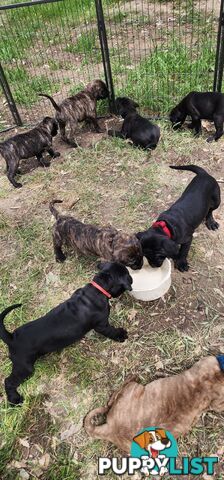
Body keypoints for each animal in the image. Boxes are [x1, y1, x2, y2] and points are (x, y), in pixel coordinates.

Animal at [0, 262, 132, 404]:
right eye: (127, 274)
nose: (131, 279)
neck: (98, 288)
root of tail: (11, 338)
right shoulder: (102, 325)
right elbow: (111, 331)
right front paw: (121, 335)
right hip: (24, 368)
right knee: (8, 381)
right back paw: (14, 399)